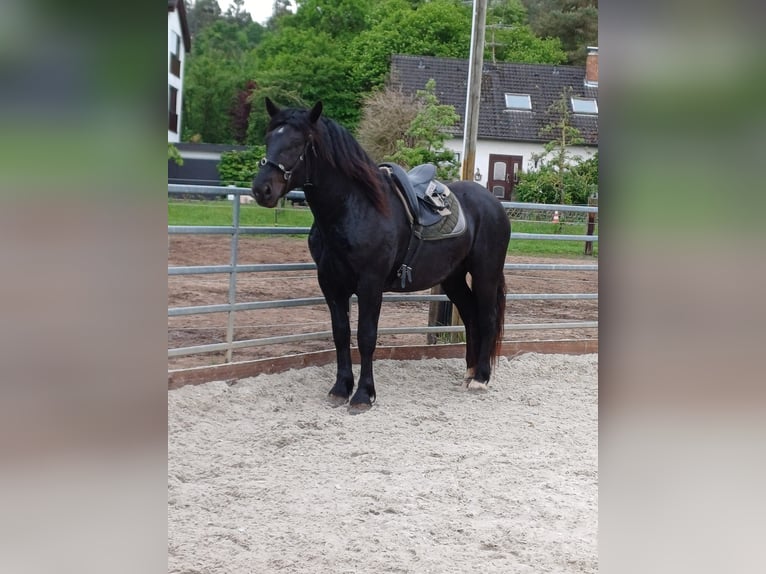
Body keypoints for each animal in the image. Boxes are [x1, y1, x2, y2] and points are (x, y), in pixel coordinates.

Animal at [254, 100, 510, 410]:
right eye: (269, 139)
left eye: (297, 143)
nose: (261, 189)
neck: (355, 208)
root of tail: (493, 203)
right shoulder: (330, 284)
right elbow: (340, 334)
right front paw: (340, 388)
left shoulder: (370, 283)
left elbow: (366, 336)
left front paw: (364, 394)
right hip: (453, 278)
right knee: (471, 314)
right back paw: (470, 371)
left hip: (486, 272)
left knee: (486, 316)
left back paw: (481, 378)